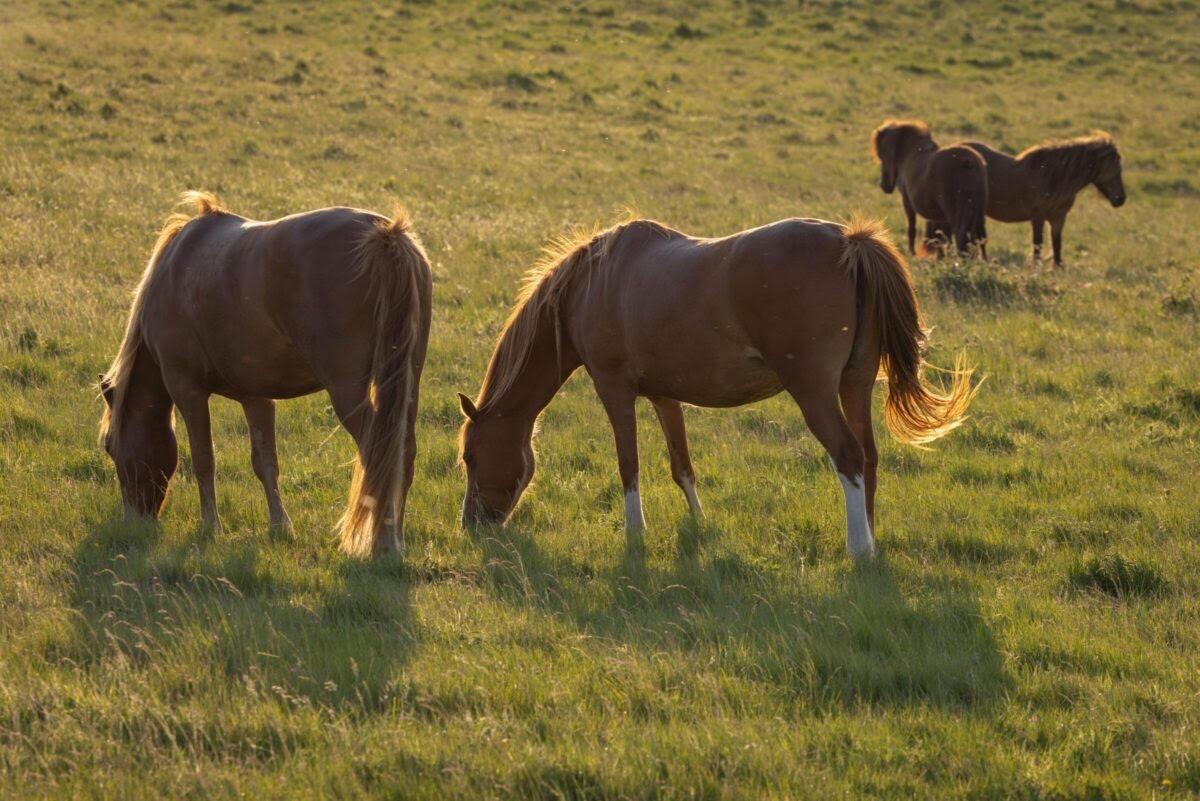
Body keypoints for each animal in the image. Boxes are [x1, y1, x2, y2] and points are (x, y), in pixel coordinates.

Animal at [99, 192, 432, 557]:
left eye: (109, 445)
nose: (134, 522)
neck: (175, 269)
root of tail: (387, 235)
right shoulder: (256, 397)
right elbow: (265, 463)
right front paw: (280, 527)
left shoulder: (187, 390)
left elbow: (203, 460)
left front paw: (210, 526)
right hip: (406, 384)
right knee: (403, 451)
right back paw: (395, 539)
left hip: (348, 391)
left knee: (379, 453)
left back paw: (384, 542)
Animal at [457, 216, 978, 559]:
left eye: (469, 456)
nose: (472, 525)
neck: (591, 285)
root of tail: (849, 241)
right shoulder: (664, 395)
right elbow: (681, 465)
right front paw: (699, 525)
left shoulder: (614, 388)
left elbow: (629, 466)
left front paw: (635, 535)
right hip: (855, 385)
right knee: (868, 457)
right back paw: (869, 536)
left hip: (813, 392)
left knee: (848, 456)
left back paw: (859, 550)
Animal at [870, 119, 988, 258]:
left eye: (881, 154)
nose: (884, 186)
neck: (910, 153)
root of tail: (967, 162)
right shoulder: (938, 214)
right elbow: (940, 236)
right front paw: (940, 258)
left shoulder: (907, 200)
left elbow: (912, 228)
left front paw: (912, 253)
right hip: (977, 212)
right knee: (980, 238)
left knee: (962, 238)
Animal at [960, 133, 1125, 267]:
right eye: (1116, 169)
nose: (1121, 199)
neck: (1051, 177)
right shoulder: (1037, 217)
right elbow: (1037, 244)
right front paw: (1036, 269)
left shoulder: (1058, 218)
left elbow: (1057, 244)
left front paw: (1058, 269)